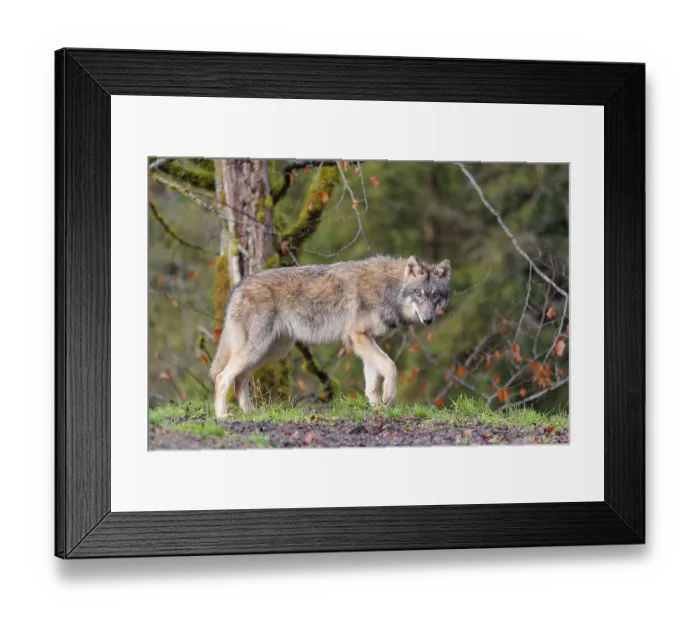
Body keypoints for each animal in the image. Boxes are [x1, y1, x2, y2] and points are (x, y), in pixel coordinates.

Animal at [209, 255, 451, 418]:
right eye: (418, 294)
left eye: (435, 296)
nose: (428, 320)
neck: (389, 289)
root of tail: (240, 286)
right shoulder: (358, 337)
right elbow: (391, 367)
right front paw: (387, 398)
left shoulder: (368, 341)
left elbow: (372, 382)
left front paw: (376, 409)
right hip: (258, 349)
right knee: (223, 377)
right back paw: (222, 415)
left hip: (271, 352)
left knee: (240, 378)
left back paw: (250, 412)